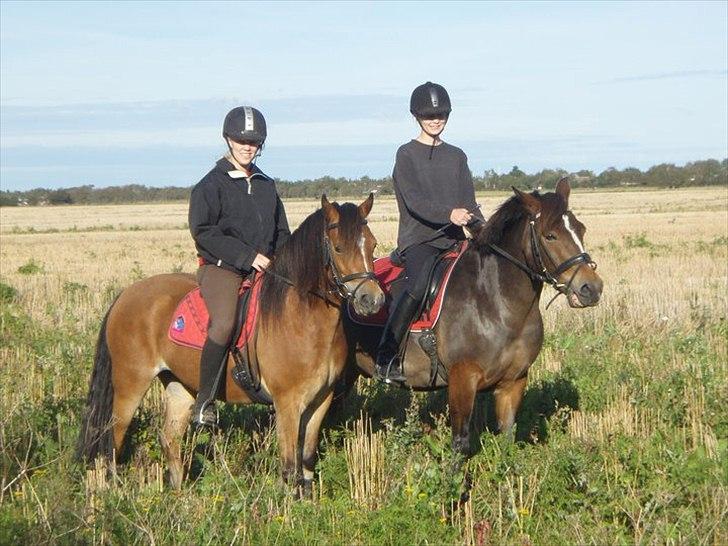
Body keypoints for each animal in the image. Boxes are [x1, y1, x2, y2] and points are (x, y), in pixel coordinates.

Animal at [77, 194, 385, 492]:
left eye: (372, 244)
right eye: (339, 248)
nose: (372, 300)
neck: (303, 319)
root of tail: (126, 294)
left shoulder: (321, 400)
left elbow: (306, 461)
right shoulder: (287, 403)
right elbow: (288, 467)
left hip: (179, 385)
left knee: (169, 439)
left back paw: (179, 494)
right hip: (130, 385)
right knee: (112, 441)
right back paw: (110, 494)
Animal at [345, 179, 603, 454]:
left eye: (581, 229)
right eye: (550, 235)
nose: (591, 288)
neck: (495, 303)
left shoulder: (513, 382)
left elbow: (507, 437)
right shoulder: (463, 381)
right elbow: (460, 444)